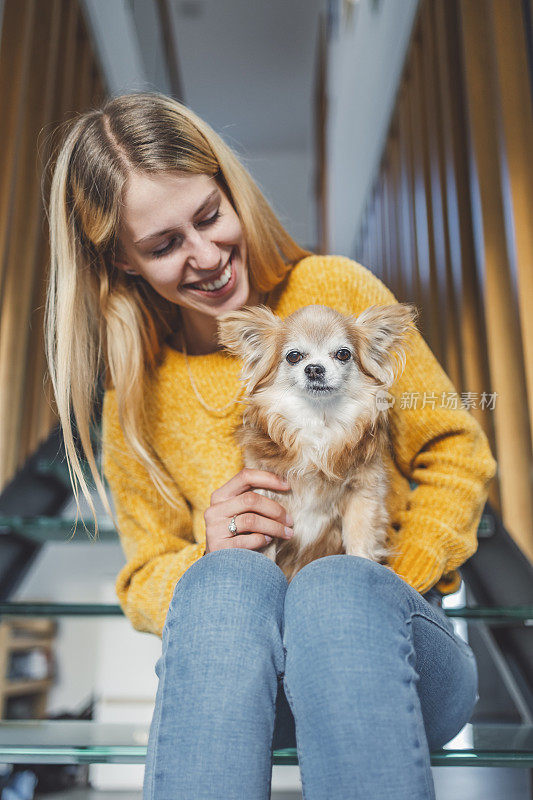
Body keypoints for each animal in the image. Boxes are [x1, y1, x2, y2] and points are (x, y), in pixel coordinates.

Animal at [214, 302, 418, 580]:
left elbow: (360, 540)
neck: (318, 421)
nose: (314, 368)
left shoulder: (363, 494)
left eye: (343, 354)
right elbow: (264, 546)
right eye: (294, 356)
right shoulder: (264, 497)